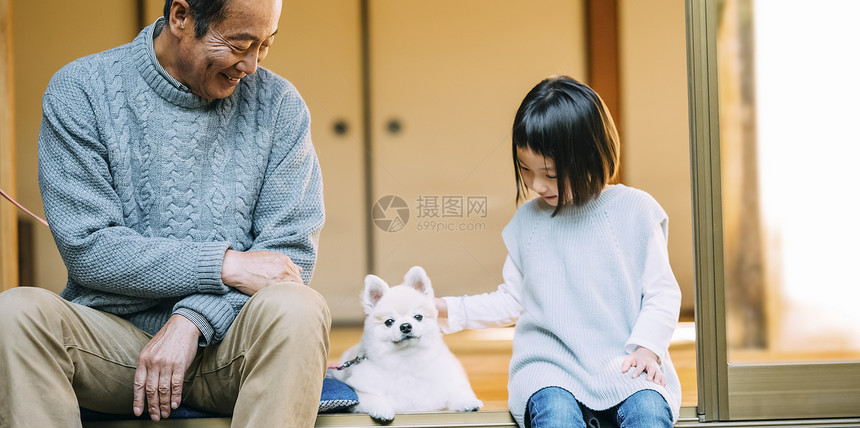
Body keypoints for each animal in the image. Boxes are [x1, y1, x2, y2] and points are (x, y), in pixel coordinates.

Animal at [330, 266, 484, 422]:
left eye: (418, 317)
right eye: (389, 322)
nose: (405, 326)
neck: (407, 357)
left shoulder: (445, 384)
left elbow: (456, 392)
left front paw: (468, 401)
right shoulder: (360, 392)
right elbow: (371, 398)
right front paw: (382, 409)